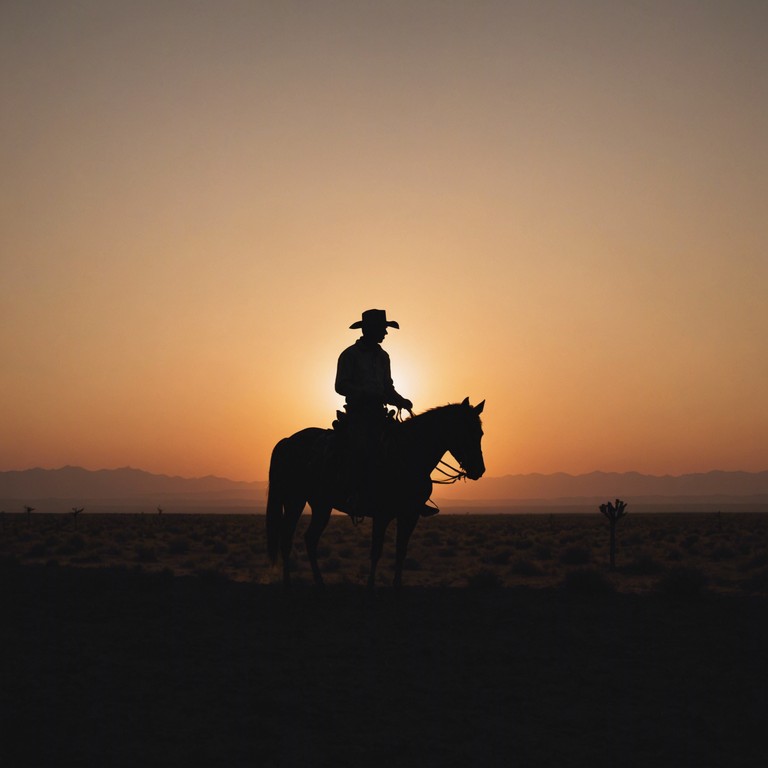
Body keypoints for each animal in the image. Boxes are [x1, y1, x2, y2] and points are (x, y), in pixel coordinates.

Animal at [268, 402, 484, 588]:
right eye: (468, 432)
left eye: (480, 433)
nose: (479, 470)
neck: (408, 456)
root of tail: (287, 441)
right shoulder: (382, 515)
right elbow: (376, 552)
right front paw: (371, 585)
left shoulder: (410, 515)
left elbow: (401, 551)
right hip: (294, 501)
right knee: (287, 539)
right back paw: (288, 583)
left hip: (322, 506)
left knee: (310, 539)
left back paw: (320, 583)